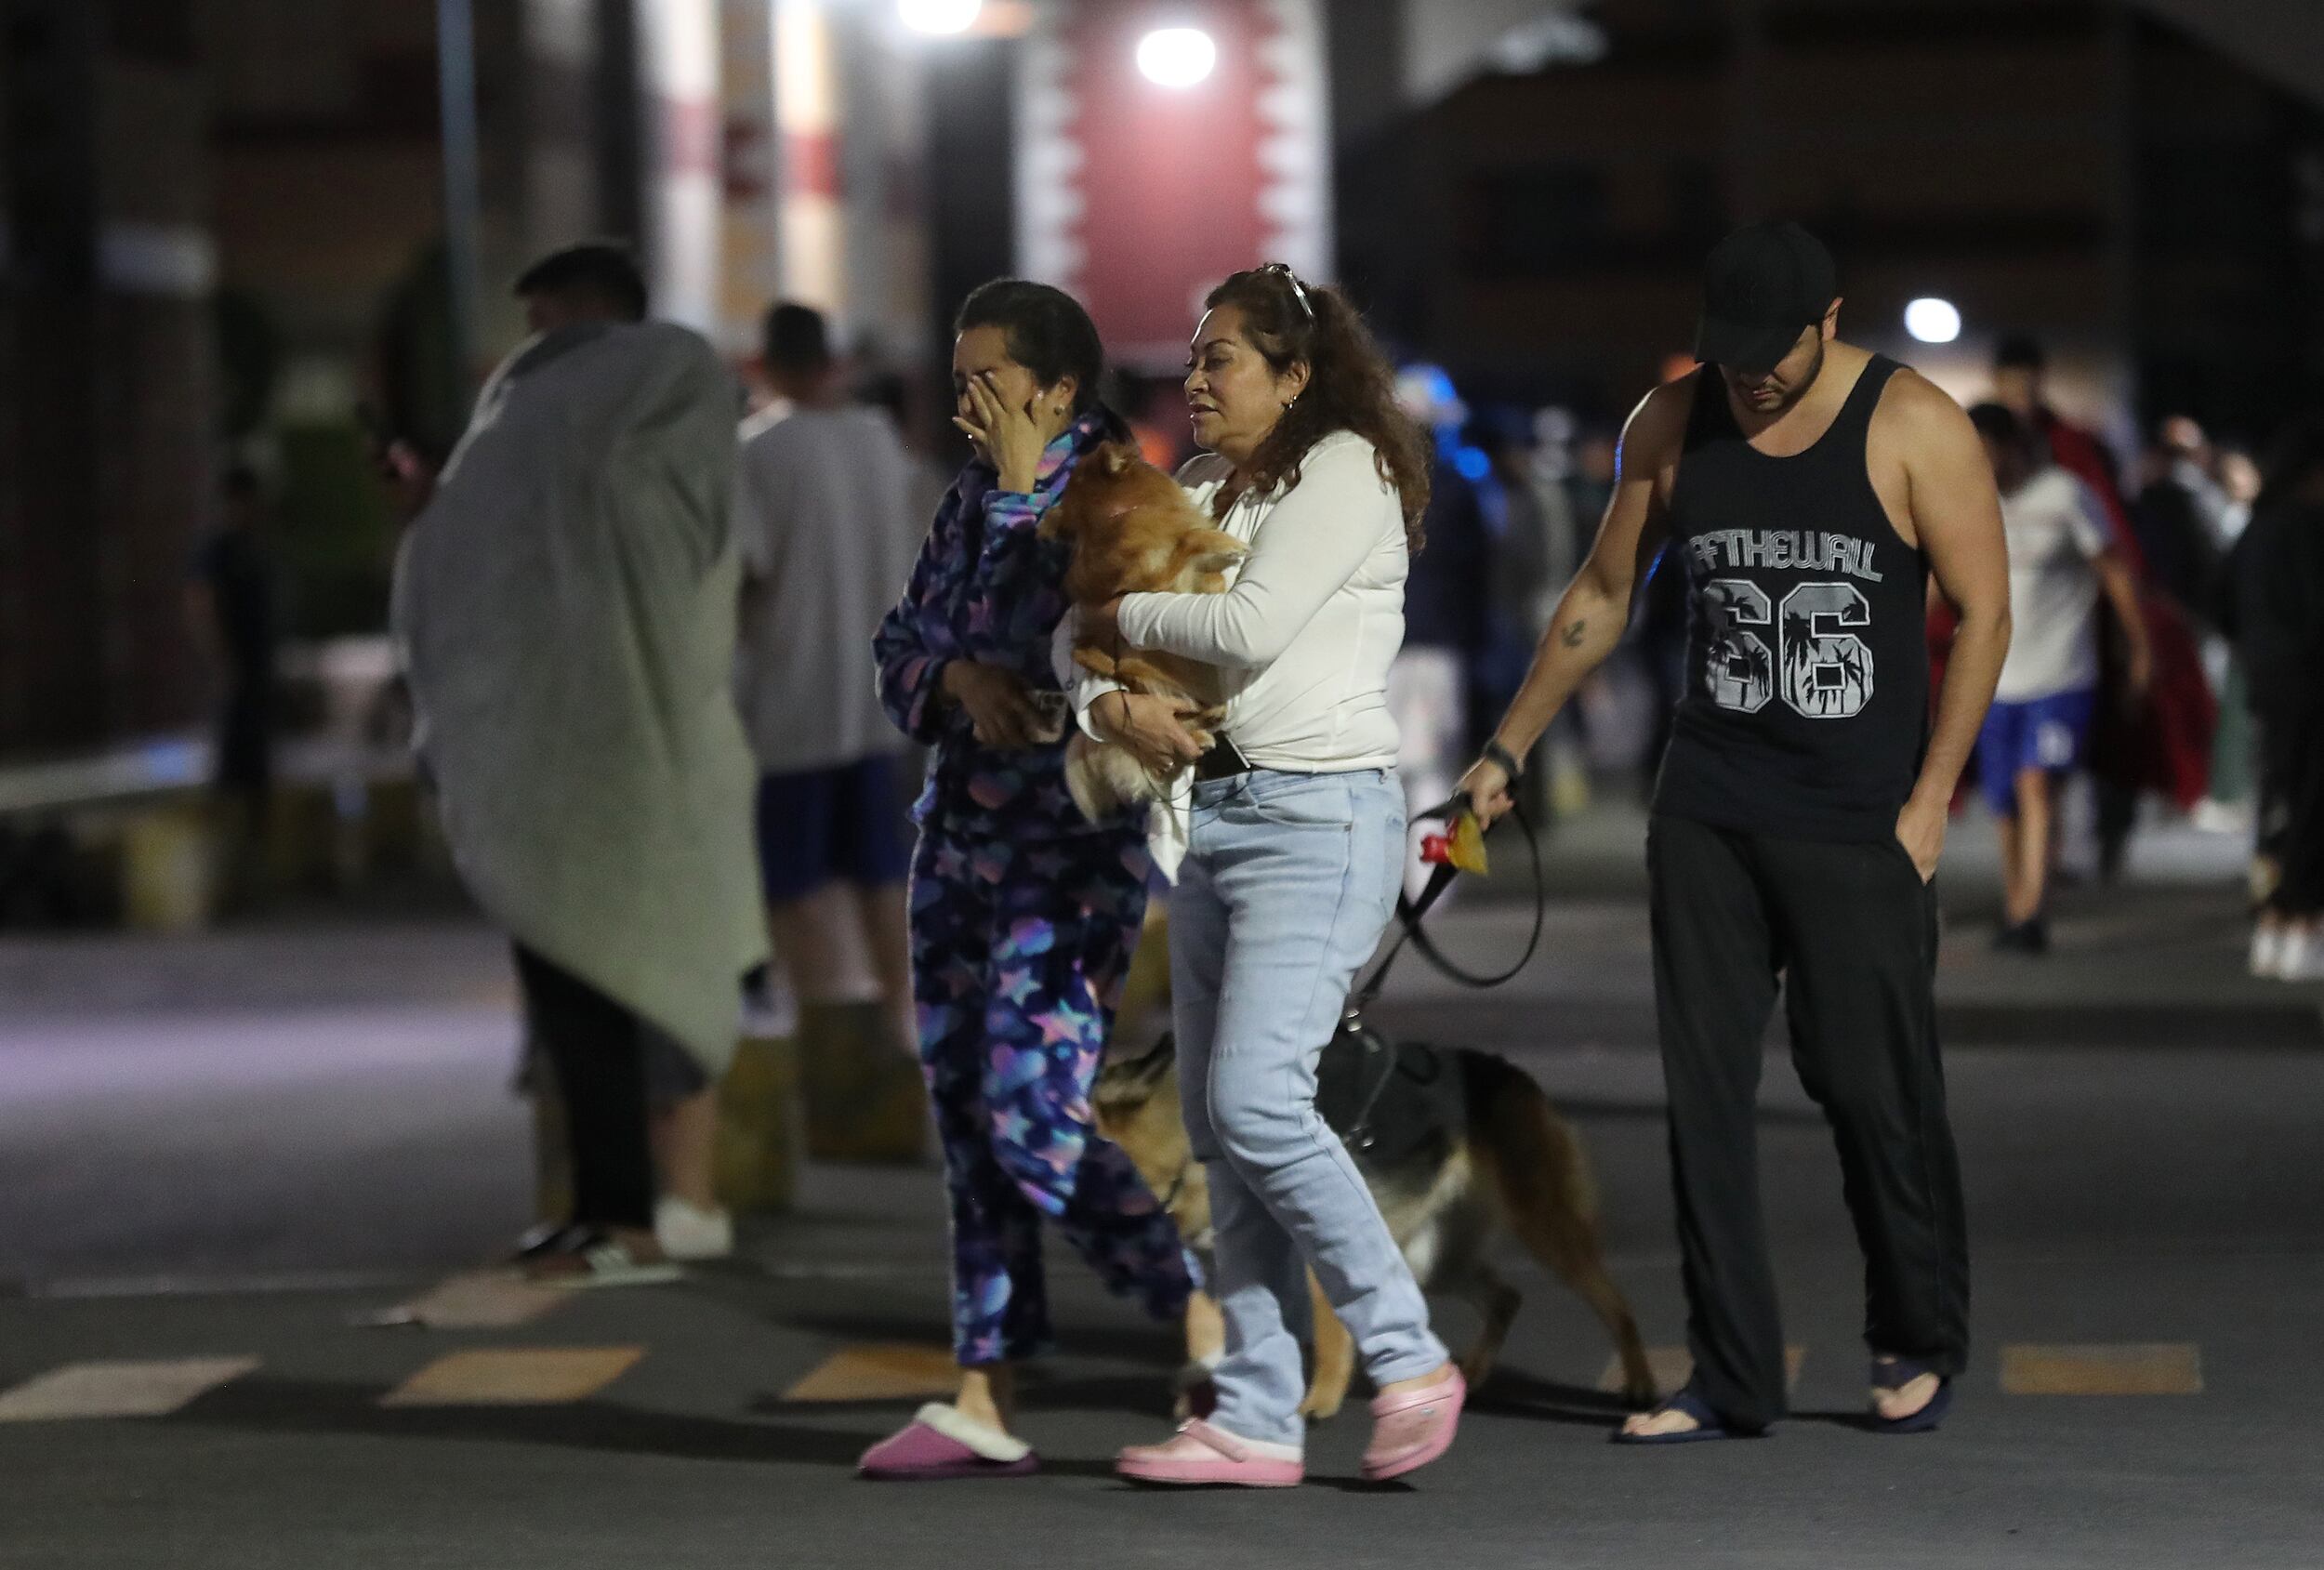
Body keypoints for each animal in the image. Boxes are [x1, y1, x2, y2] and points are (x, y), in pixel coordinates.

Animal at [1097, 1031, 1664, 1421]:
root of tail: (1514, 1074)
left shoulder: (1317, 1258)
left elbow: (1330, 1337)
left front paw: (1318, 1404)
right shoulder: (1217, 1266)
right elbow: (1206, 1332)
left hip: (1547, 1232)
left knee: (1617, 1307)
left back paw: (1641, 1384)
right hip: (1433, 1260)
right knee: (1507, 1298)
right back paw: (1471, 1374)